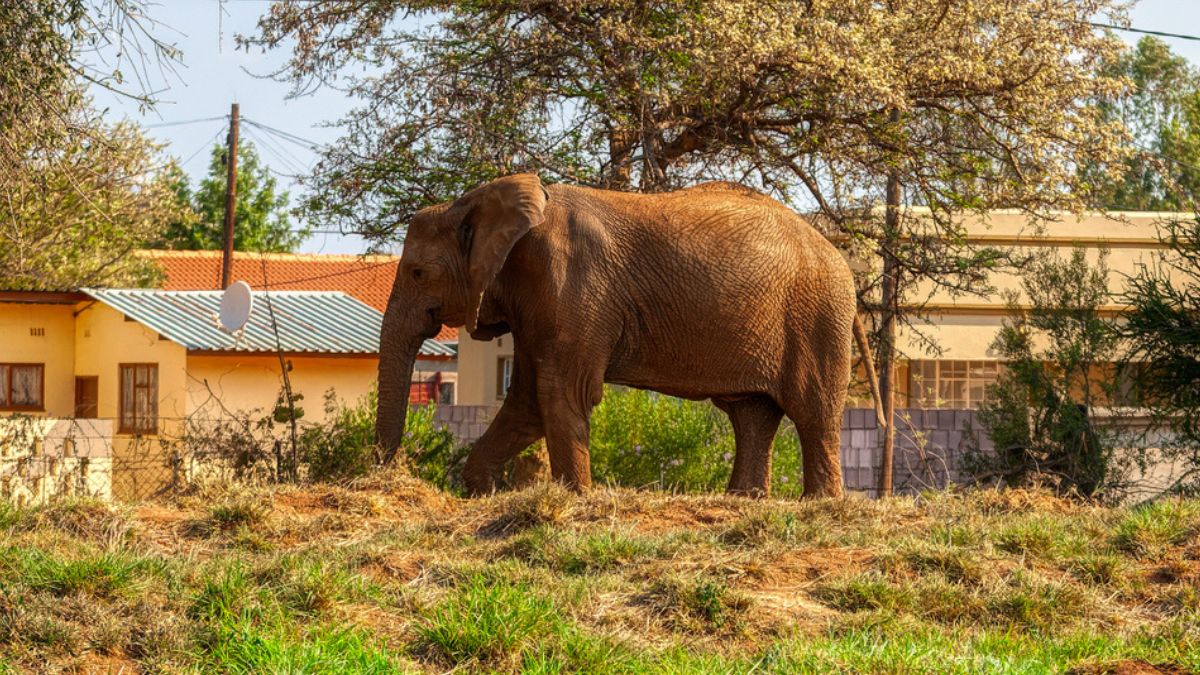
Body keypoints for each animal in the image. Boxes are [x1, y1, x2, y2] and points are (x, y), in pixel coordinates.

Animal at [376, 173, 881, 499]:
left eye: (418, 272)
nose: (386, 474)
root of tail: (837, 253)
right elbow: (526, 400)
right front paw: (483, 492)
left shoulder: (573, 286)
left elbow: (561, 391)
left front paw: (574, 498)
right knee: (752, 415)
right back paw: (743, 500)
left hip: (817, 316)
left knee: (812, 412)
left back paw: (819, 505)